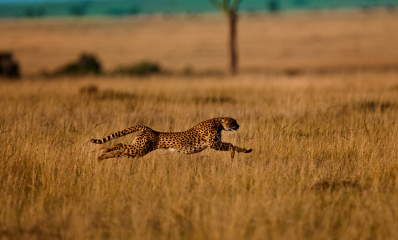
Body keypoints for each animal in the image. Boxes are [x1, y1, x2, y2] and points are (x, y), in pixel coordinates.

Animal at [90, 116, 252, 161]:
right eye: (233, 121)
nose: (238, 125)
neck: (218, 122)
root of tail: (148, 128)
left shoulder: (216, 143)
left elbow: (236, 145)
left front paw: (246, 150)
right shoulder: (213, 144)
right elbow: (231, 144)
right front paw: (232, 154)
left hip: (137, 150)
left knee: (121, 151)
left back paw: (101, 156)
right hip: (140, 149)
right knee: (120, 144)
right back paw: (103, 150)